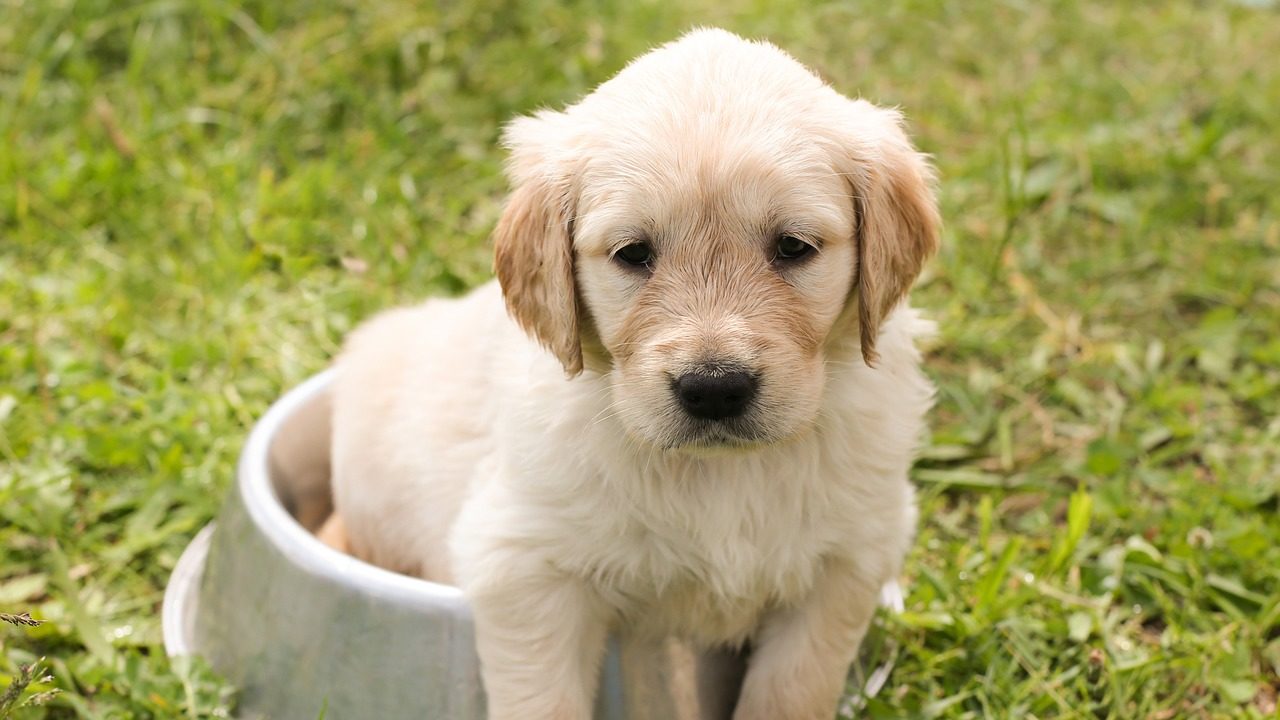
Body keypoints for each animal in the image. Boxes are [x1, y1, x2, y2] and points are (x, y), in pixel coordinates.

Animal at [332, 26, 942, 717]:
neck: (720, 475)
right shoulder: (523, 565)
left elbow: (793, 688)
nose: (714, 389)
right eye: (633, 253)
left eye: (793, 247)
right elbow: (543, 699)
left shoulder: (846, 563)